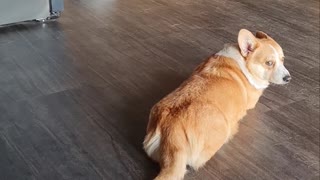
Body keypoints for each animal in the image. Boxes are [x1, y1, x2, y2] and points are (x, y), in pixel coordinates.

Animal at [144, 28, 292, 179]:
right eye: (269, 63)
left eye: (282, 59)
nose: (288, 78)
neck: (244, 61)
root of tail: (171, 134)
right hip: (220, 127)